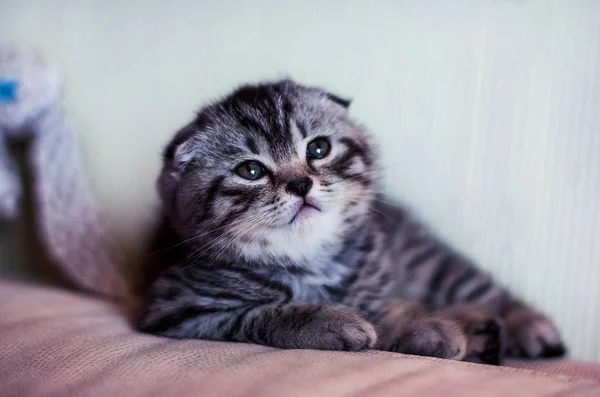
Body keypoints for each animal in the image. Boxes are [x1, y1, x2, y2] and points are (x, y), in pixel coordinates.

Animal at [138, 79, 564, 364]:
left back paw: (527, 327)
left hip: (429, 263)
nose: (300, 184)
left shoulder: (377, 282)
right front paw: (336, 323)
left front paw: (426, 328)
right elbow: (265, 313)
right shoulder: (181, 311)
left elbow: (389, 309)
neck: (309, 262)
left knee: (483, 290)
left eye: (318, 149)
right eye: (251, 170)